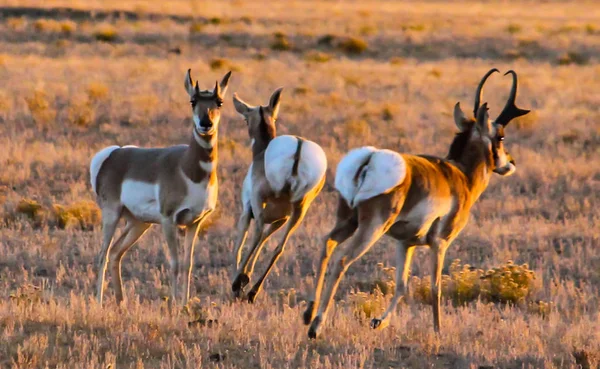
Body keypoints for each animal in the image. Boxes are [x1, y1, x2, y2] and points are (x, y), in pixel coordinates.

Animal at [91, 68, 232, 304]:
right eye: (193, 101)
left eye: (219, 102)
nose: (206, 123)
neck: (188, 168)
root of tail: (114, 154)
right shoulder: (168, 220)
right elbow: (174, 264)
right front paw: (174, 305)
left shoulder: (195, 223)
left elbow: (187, 265)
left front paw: (184, 305)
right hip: (112, 215)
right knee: (103, 254)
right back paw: (98, 303)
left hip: (138, 223)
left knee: (115, 252)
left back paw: (121, 302)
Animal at [231, 87, 326, 300]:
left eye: (245, 118)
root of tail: (299, 146)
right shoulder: (280, 219)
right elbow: (267, 239)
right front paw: (246, 277)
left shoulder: (247, 211)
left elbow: (241, 243)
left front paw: (240, 279)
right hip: (299, 211)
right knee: (278, 247)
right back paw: (252, 292)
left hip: (260, 200)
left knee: (257, 233)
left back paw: (237, 284)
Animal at [304, 68, 528, 336]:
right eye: (501, 136)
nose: (511, 163)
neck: (460, 174)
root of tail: (370, 157)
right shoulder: (440, 243)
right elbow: (435, 286)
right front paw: (438, 331)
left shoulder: (405, 244)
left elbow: (401, 284)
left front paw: (378, 321)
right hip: (371, 229)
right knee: (342, 259)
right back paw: (316, 325)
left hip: (347, 221)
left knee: (327, 244)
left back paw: (308, 314)